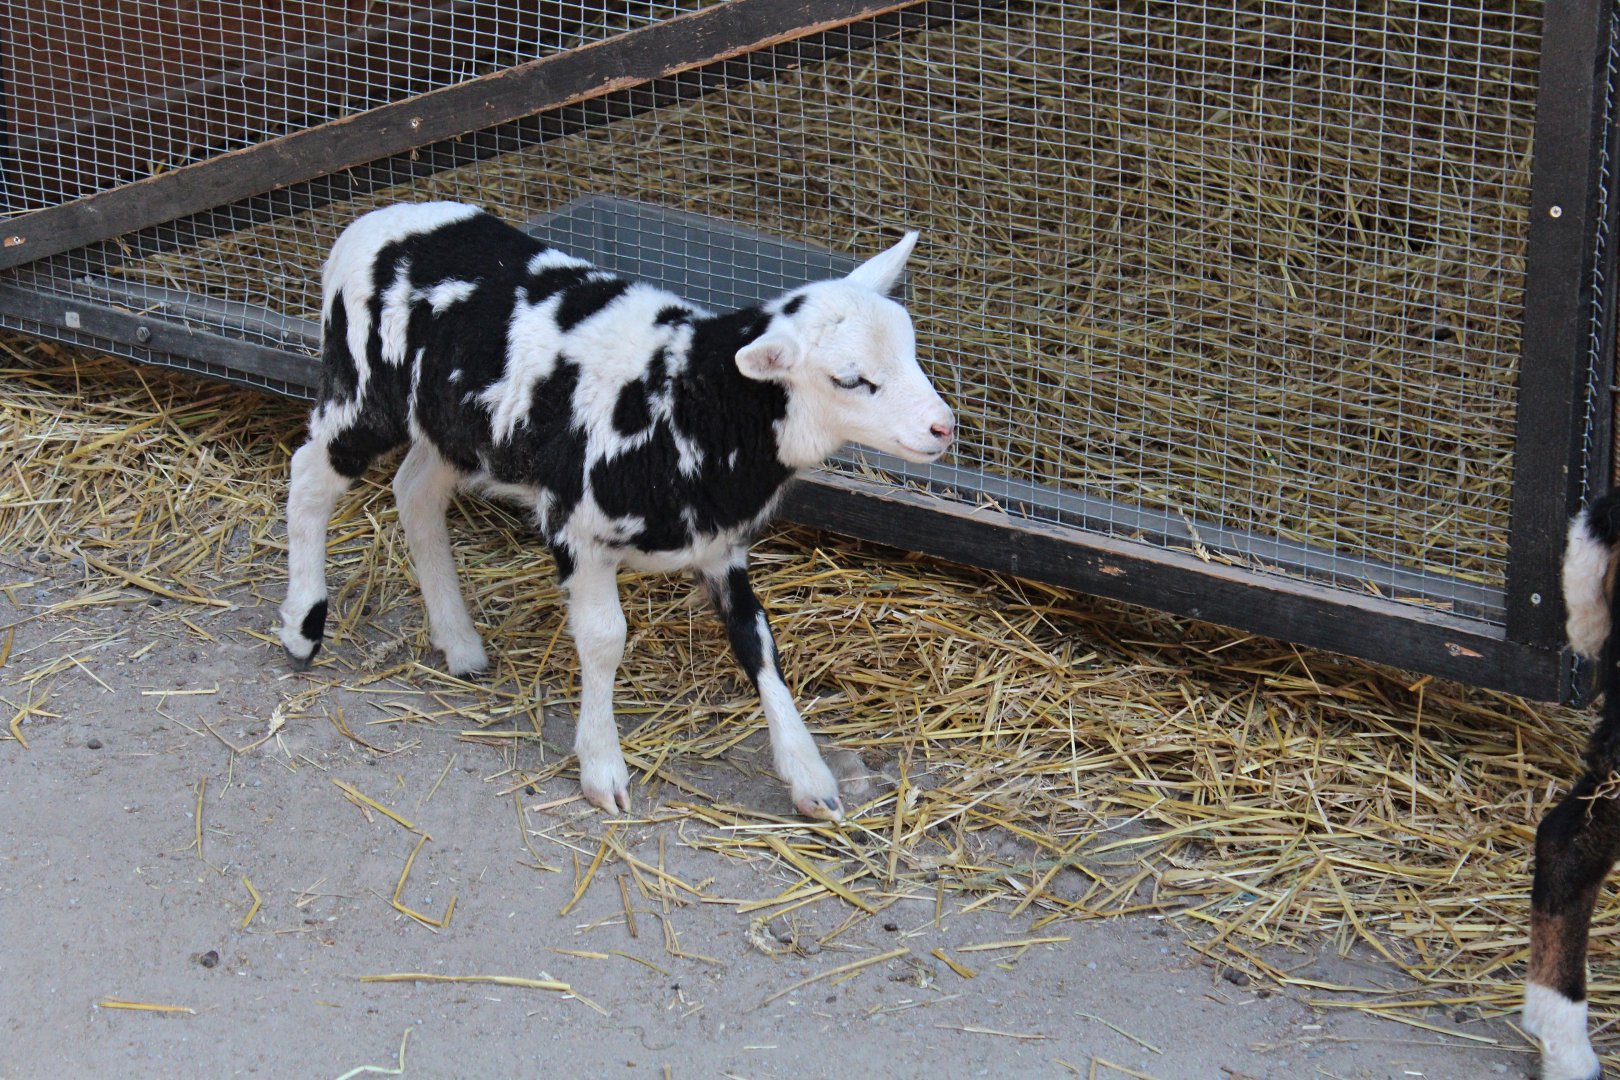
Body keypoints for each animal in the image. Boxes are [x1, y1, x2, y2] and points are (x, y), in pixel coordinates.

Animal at [278, 201, 955, 820]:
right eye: (851, 380)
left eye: (912, 351)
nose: (943, 428)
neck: (690, 400)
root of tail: (369, 223)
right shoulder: (577, 527)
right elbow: (605, 640)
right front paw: (602, 766)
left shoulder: (720, 545)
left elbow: (758, 640)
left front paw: (809, 778)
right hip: (363, 390)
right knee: (308, 476)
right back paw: (303, 626)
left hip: (457, 427)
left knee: (415, 491)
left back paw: (460, 642)